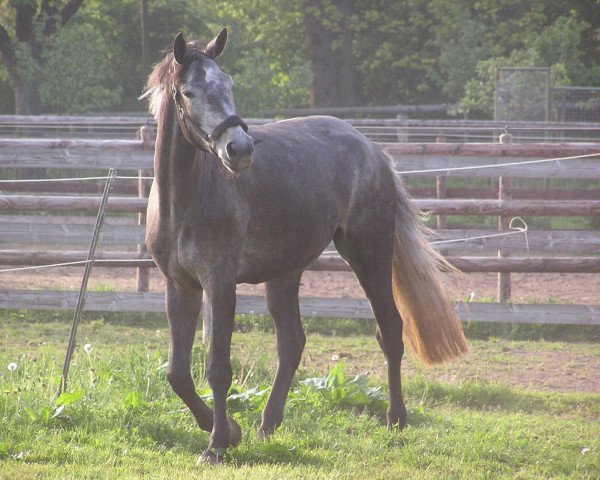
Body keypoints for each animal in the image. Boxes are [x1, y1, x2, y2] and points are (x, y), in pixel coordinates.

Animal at [142, 28, 468, 464]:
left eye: (228, 84)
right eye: (189, 92)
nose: (240, 150)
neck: (184, 199)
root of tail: (372, 149)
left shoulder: (220, 284)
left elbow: (217, 368)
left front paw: (217, 443)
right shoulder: (179, 286)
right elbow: (177, 373)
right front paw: (228, 430)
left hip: (368, 255)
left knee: (390, 329)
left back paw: (396, 418)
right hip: (285, 273)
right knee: (292, 342)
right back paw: (268, 424)